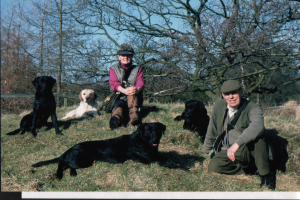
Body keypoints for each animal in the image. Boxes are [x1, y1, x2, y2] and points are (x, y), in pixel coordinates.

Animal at [32, 122, 166, 180]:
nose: (155, 139)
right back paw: (59, 175)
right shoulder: (148, 159)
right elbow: (163, 160)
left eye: (158, 130)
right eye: (148, 131)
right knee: (62, 162)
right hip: (84, 160)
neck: (142, 141)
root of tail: (71, 148)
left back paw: (72, 173)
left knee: (68, 164)